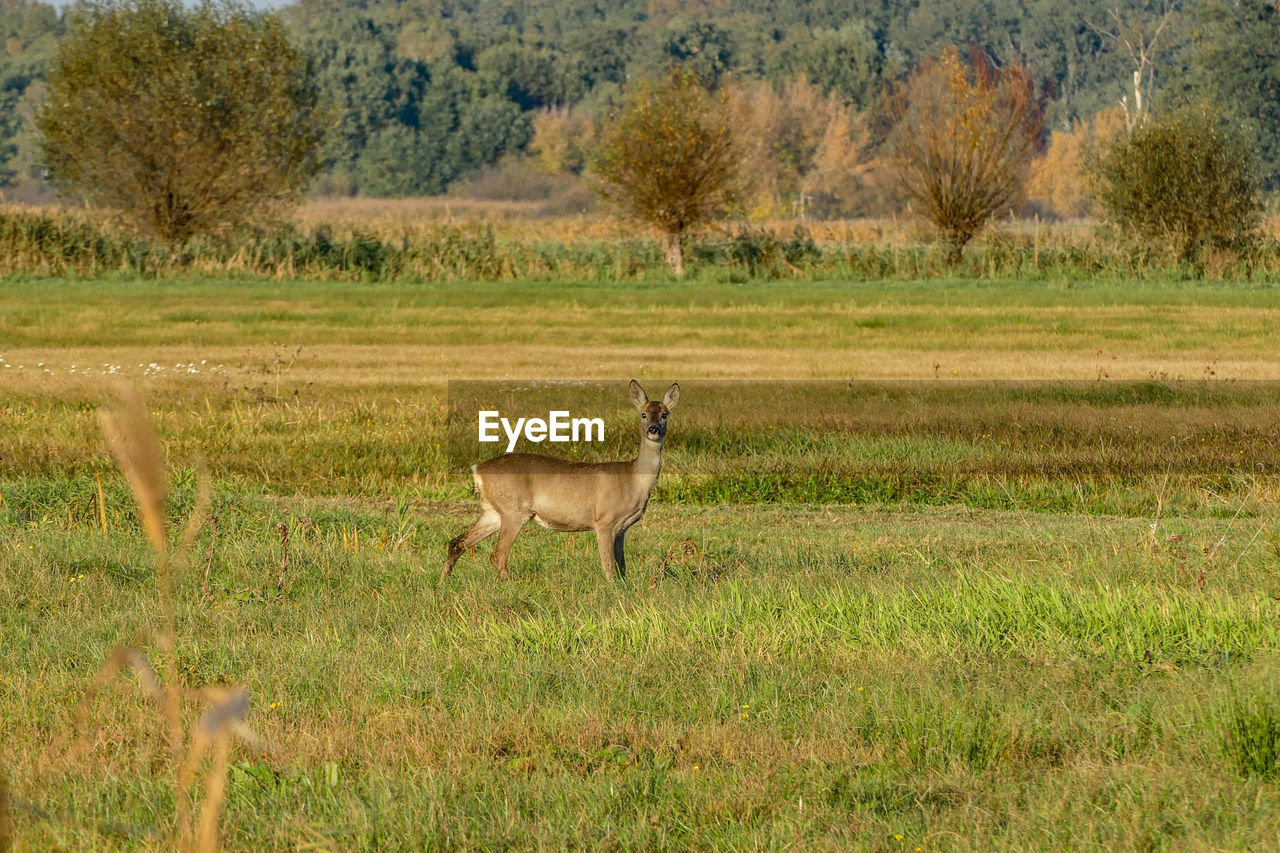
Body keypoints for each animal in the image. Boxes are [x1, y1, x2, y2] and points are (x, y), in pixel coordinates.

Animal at [440, 379, 680, 584]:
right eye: (643, 414)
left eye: (664, 414)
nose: (653, 430)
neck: (632, 479)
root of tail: (477, 469)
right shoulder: (604, 520)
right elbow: (609, 568)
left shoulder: (622, 528)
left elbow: (622, 568)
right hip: (513, 510)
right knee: (497, 555)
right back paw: (511, 586)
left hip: (493, 511)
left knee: (457, 542)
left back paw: (443, 582)